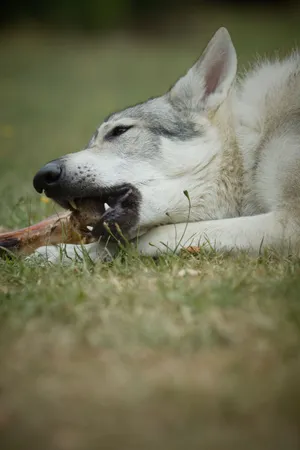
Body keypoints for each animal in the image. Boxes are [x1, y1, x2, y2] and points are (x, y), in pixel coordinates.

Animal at [31, 27, 300, 264]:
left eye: (119, 131)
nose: (42, 177)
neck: (248, 153)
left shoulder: (288, 222)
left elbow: (148, 238)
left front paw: (62, 253)